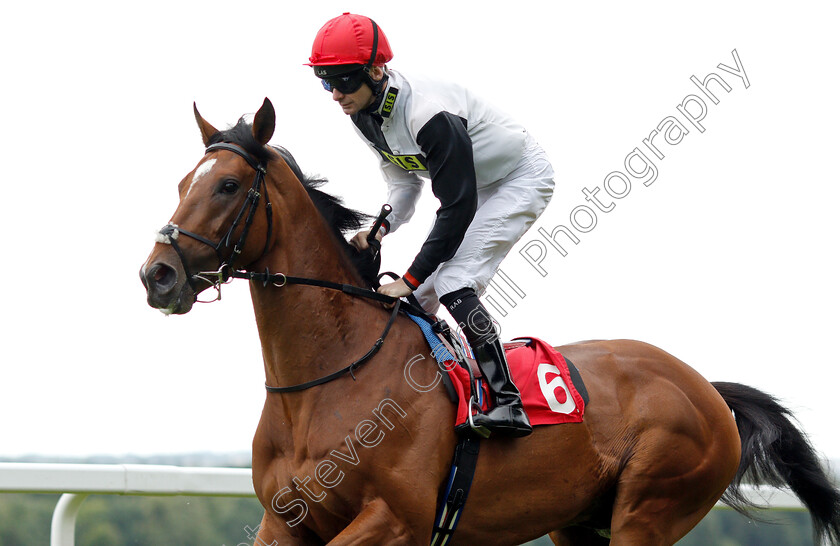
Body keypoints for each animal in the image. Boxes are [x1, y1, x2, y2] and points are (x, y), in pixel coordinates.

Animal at [139, 99, 840, 544]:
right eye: (181, 182)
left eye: (228, 186)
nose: (157, 275)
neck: (323, 386)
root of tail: (706, 389)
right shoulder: (284, 523)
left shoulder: (394, 520)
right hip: (577, 524)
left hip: (650, 511)